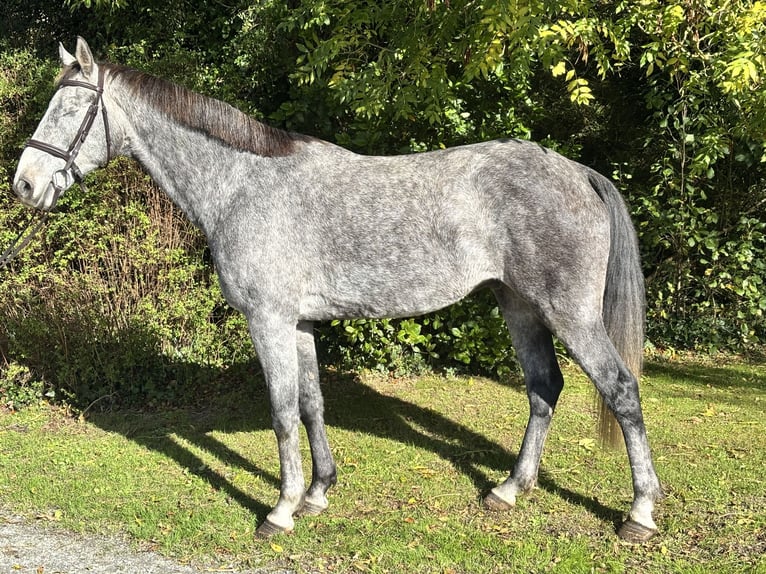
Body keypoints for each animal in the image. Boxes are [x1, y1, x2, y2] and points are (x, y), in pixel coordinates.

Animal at [12, 38, 662, 543]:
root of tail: (577, 171)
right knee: (543, 388)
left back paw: (639, 513)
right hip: (519, 306)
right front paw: (318, 493)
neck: (242, 185)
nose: (24, 185)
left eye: (72, 108)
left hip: (570, 314)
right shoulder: (298, 323)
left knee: (621, 391)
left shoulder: (268, 321)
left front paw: (279, 511)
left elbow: (280, 411)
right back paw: (508, 490)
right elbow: (311, 404)